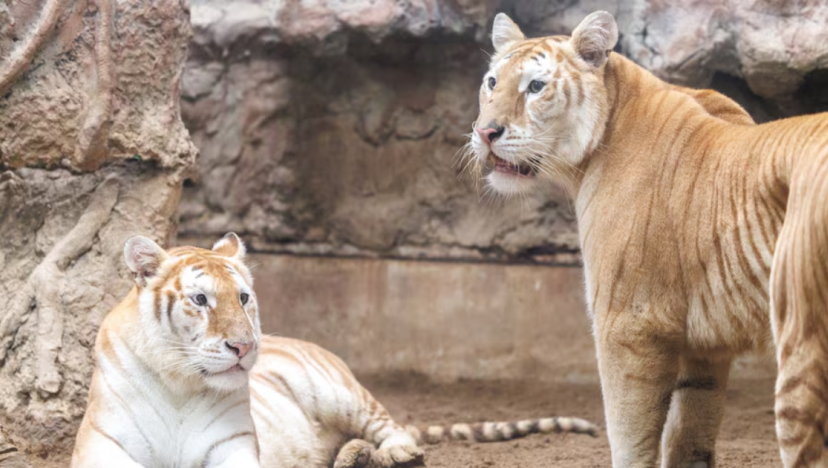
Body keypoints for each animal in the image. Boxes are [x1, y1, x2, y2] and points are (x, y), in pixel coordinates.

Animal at [74, 236, 600, 466]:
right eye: (200, 300)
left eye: (242, 297)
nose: (244, 346)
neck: (181, 386)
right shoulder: (105, 450)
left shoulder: (233, 450)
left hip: (339, 393)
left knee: (393, 429)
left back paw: (384, 454)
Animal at [466, 9, 828, 468]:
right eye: (492, 82)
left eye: (535, 86)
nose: (485, 132)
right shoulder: (704, 348)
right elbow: (688, 432)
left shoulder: (629, 322)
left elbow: (629, 434)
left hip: (804, 346)